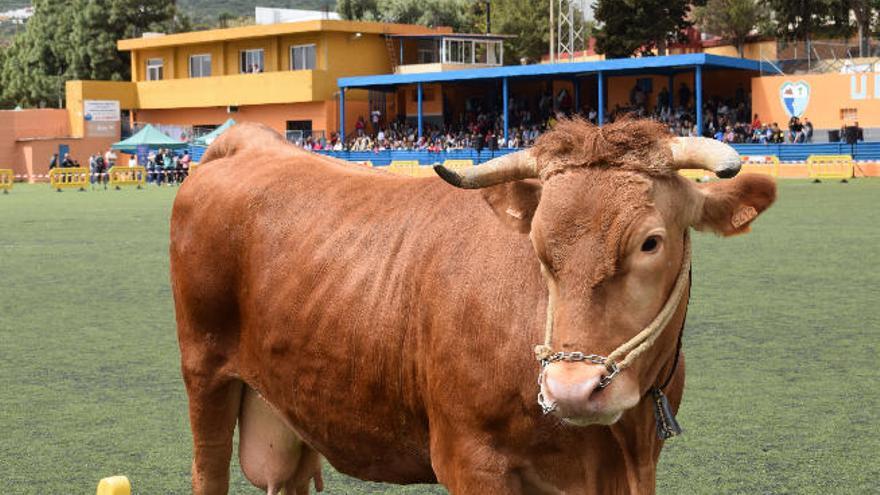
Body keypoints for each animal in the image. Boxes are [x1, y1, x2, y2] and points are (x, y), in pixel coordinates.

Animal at [168, 118, 772, 494]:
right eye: (539, 247)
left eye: (651, 242)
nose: (571, 390)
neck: (621, 447)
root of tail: (248, 142)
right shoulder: (469, 459)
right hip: (204, 371)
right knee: (206, 469)